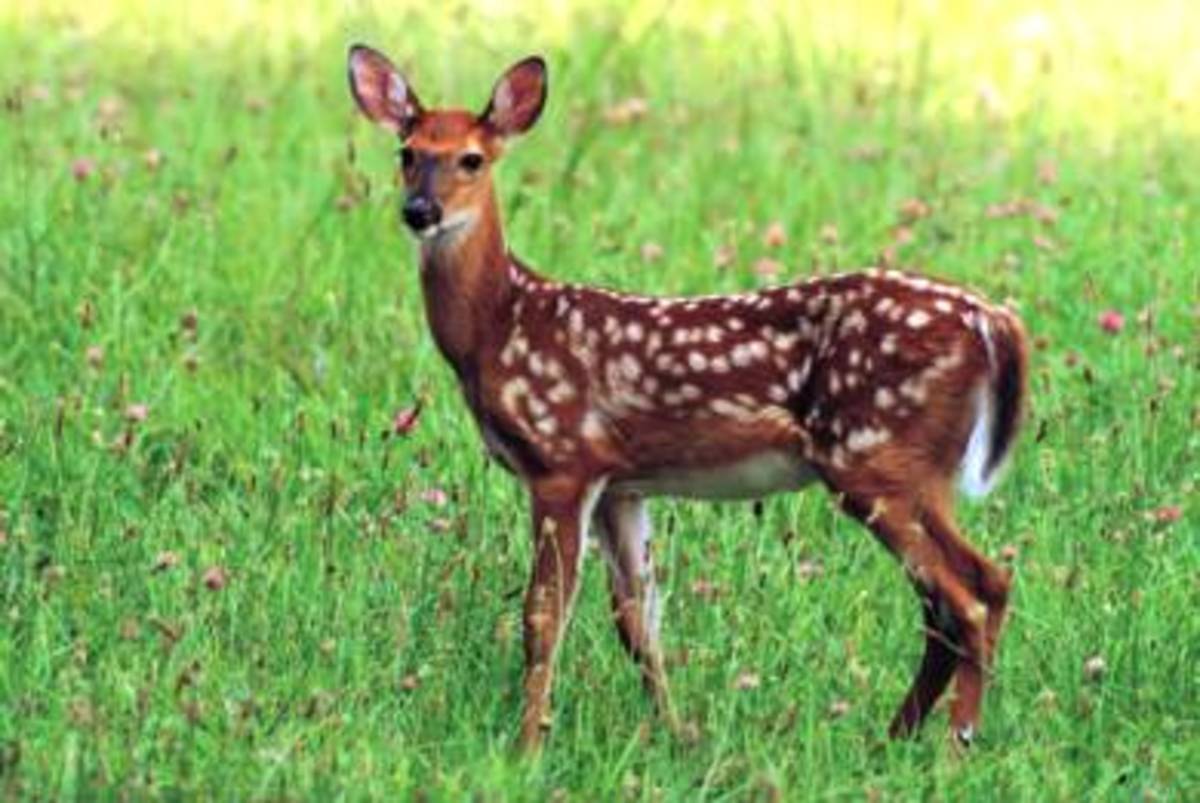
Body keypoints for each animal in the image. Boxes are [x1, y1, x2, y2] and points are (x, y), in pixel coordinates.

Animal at [348, 45, 1032, 753]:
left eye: (472, 159)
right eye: (407, 151)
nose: (419, 211)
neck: (497, 324)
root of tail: (993, 322)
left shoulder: (561, 461)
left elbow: (543, 616)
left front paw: (527, 746)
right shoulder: (621, 484)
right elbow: (638, 622)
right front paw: (678, 735)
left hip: (875, 457)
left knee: (968, 595)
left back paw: (953, 746)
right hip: (911, 470)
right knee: (964, 593)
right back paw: (894, 739)